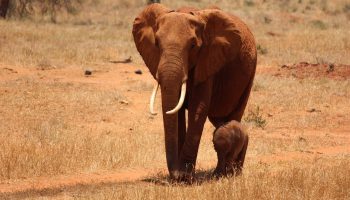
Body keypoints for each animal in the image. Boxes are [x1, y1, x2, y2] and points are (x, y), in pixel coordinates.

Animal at [133, 3, 256, 181]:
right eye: (156, 43)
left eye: (192, 46)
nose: (175, 174)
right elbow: (176, 111)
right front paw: (180, 176)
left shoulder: (208, 59)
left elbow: (198, 108)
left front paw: (184, 176)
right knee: (220, 122)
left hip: (249, 74)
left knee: (233, 117)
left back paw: (232, 173)